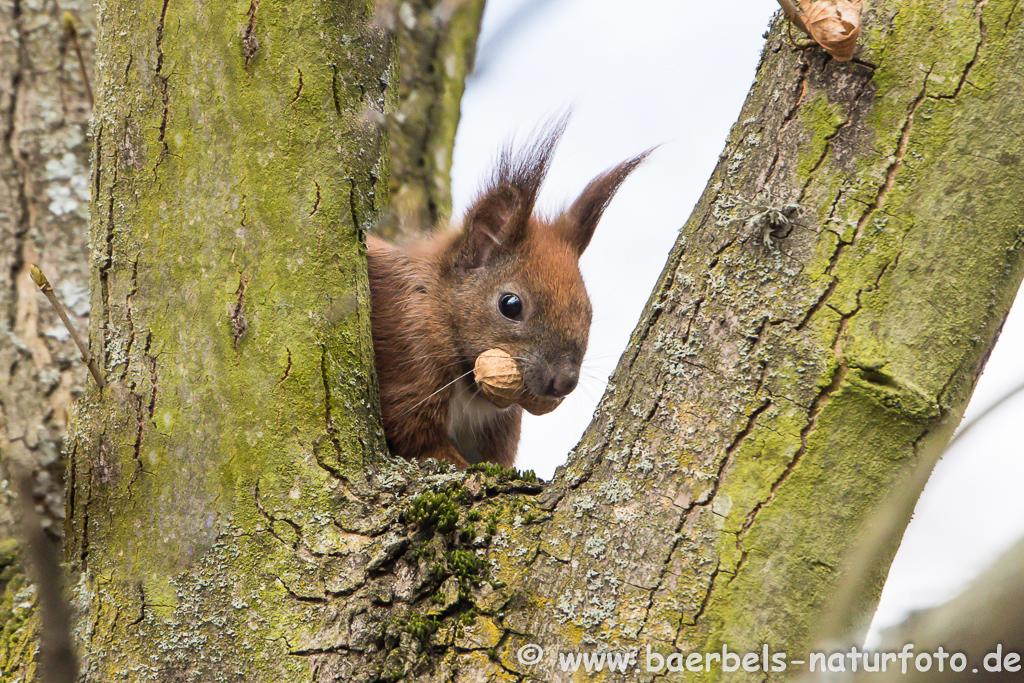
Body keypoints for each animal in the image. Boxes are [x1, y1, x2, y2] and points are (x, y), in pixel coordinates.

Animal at [368, 120, 647, 466]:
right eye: (510, 305)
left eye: (589, 311)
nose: (565, 381)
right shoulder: (408, 359)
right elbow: (419, 438)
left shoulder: (498, 427)